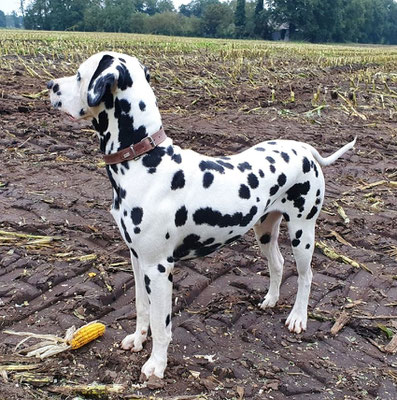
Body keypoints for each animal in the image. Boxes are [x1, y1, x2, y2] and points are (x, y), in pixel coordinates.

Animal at [47, 52, 356, 382]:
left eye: (79, 75)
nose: (50, 85)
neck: (144, 160)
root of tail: (305, 148)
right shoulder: (137, 260)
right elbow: (142, 309)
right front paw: (138, 340)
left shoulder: (159, 268)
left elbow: (161, 324)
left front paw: (156, 364)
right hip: (264, 231)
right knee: (278, 264)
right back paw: (271, 300)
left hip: (302, 231)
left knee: (306, 275)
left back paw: (298, 317)